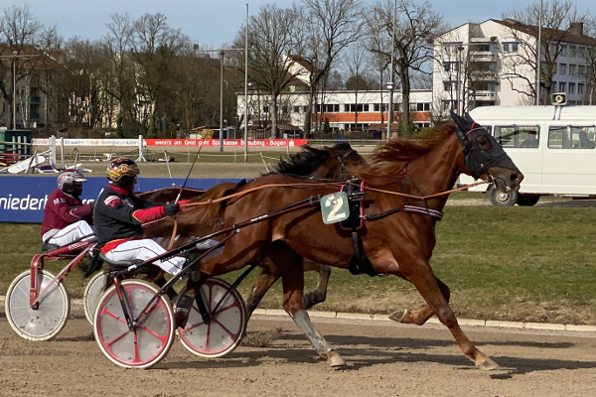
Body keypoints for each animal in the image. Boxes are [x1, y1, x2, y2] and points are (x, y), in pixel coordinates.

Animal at [182, 111, 520, 368]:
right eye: (483, 141)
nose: (515, 177)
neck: (408, 197)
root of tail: (243, 190)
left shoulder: (404, 263)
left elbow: (444, 295)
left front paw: (406, 315)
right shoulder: (412, 261)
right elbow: (444, 308)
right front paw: (479, 355)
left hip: (281, 253)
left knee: (291, 303)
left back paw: (330, 351)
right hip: (244, 248)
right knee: (198, 269)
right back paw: (188, 312)